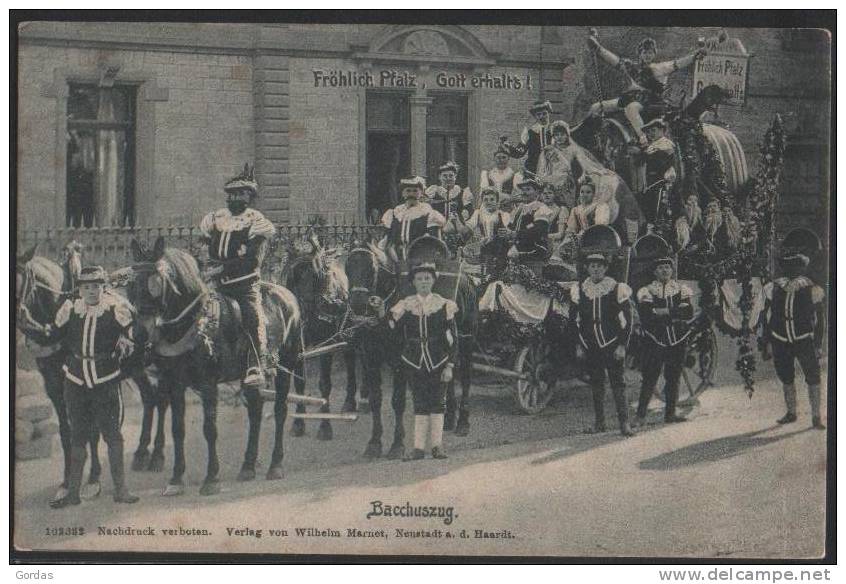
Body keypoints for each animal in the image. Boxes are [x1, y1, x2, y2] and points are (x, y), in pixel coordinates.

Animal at [15, 240, 102, 500]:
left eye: (22, 279)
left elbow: (90, 427)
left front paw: (93, 477)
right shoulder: (52, 381)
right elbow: (66, 430)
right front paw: (66, 481)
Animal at [119, 237, 304, 492]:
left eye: (155, 283)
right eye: (131, 285)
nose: (138, 334)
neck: (191, 324)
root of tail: (287, 294)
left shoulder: (208, 385)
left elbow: (210, 429)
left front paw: (211, 478)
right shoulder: (175, 384)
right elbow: (178, 428)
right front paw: (176, 478)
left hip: (287, 365)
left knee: (279, 410)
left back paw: (275, 465)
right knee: (255, 410)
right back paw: (248, 465)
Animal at [278, 226, 358, 440]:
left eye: (321, 273)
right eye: (292, 276)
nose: (333, 304)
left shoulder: (326, 344)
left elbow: (324, 384)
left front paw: (325, 426)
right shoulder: (298, 346)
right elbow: (299, 383)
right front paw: (298, 423)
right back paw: (350, 402)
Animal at [342, 234, 476, 460]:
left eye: (373, 268)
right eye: (347, 266)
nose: (358, 304)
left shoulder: (400, 363)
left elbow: (398, 401)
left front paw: (397, 445)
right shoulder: (371, 360)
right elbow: (376, 400)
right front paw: (374, 443)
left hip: (466, 342)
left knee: (465, 377)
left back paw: (463, 422)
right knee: (446, 377)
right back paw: (448, 418)